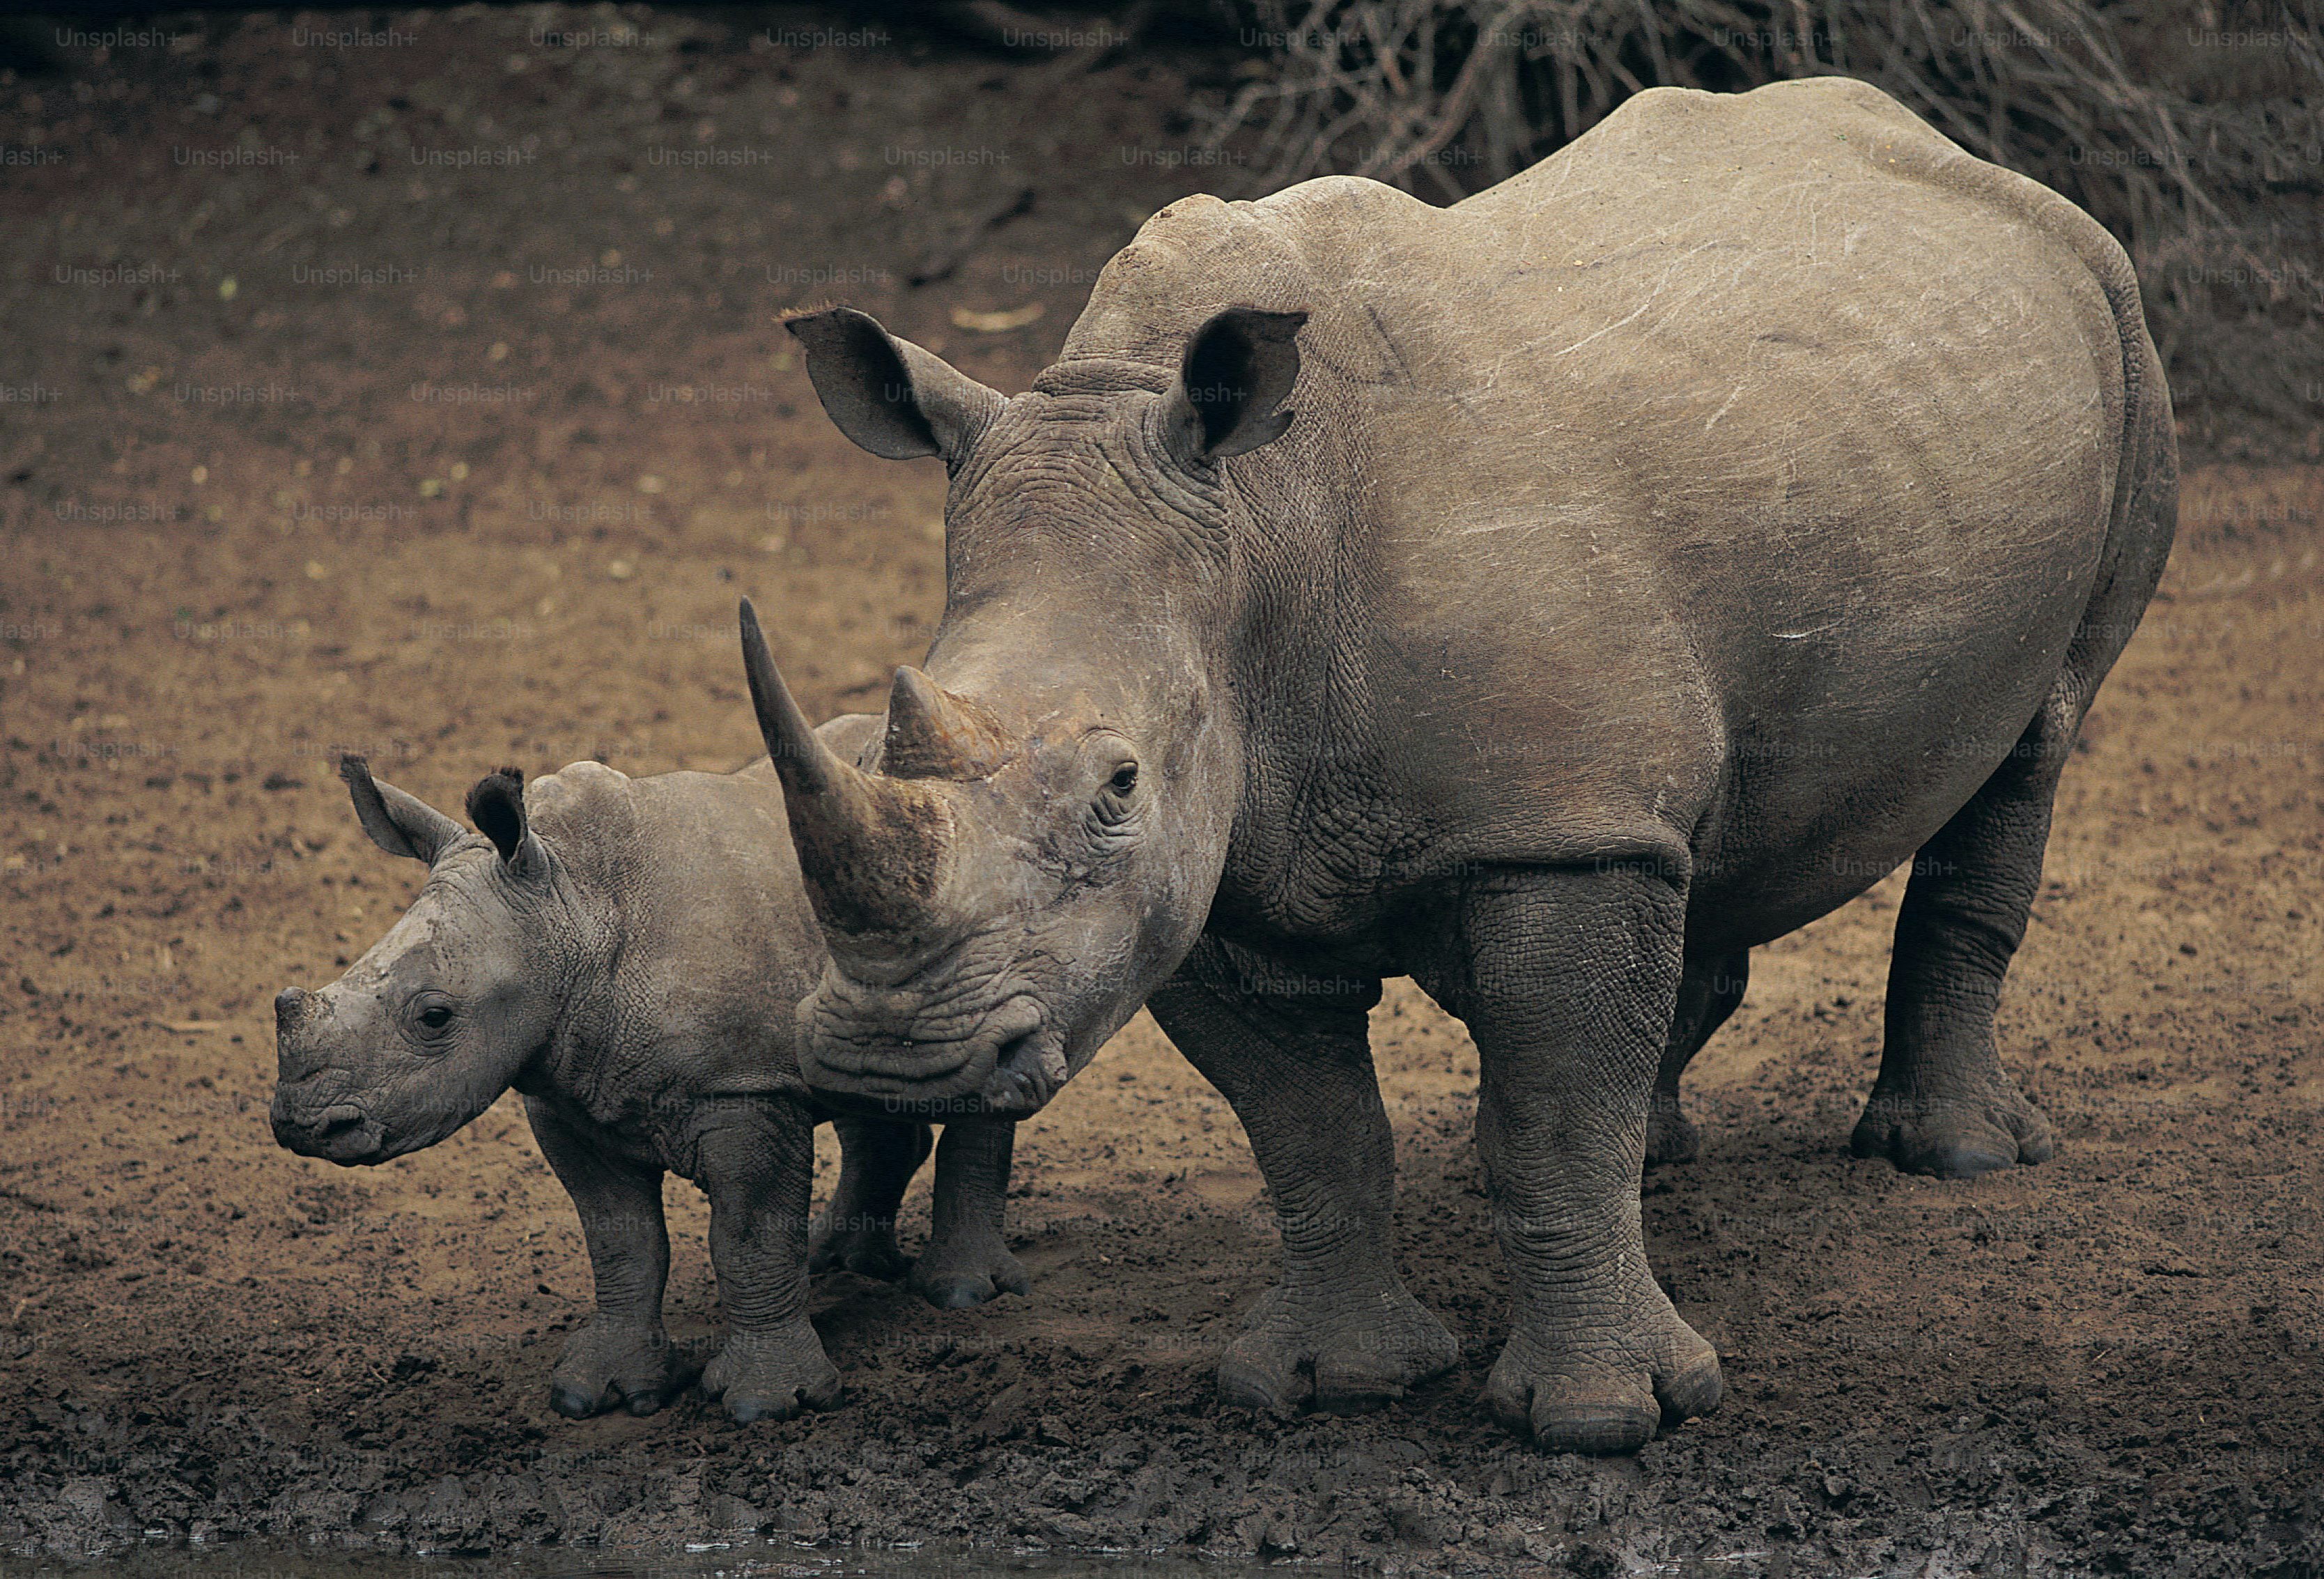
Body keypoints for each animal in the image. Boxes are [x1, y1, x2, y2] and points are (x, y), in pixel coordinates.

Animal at [269, 723, 1030, 1423]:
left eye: (434, 1017)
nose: (303, 1124)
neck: (570, 909)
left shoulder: (744, 1087)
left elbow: (750, 1235)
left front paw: (766, 1404)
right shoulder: (568, 1095)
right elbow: (622, 1240)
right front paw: (597, 1393)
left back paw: (960, 1293)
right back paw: (837, 1261)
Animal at [741, 77, 2177, 1453]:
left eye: (1116, 788)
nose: (893, 1055)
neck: (1257, 540)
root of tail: (1960, 153)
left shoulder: (1548, 826)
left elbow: (1550, 1123)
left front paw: (1606, 1420)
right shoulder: (1219, 872)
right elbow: (1314, 1132)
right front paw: (1335, 1380)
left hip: (2121, 329)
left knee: (2035, 739)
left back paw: (1954, 1161)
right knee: (1692, 844)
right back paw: (1662, 1153)